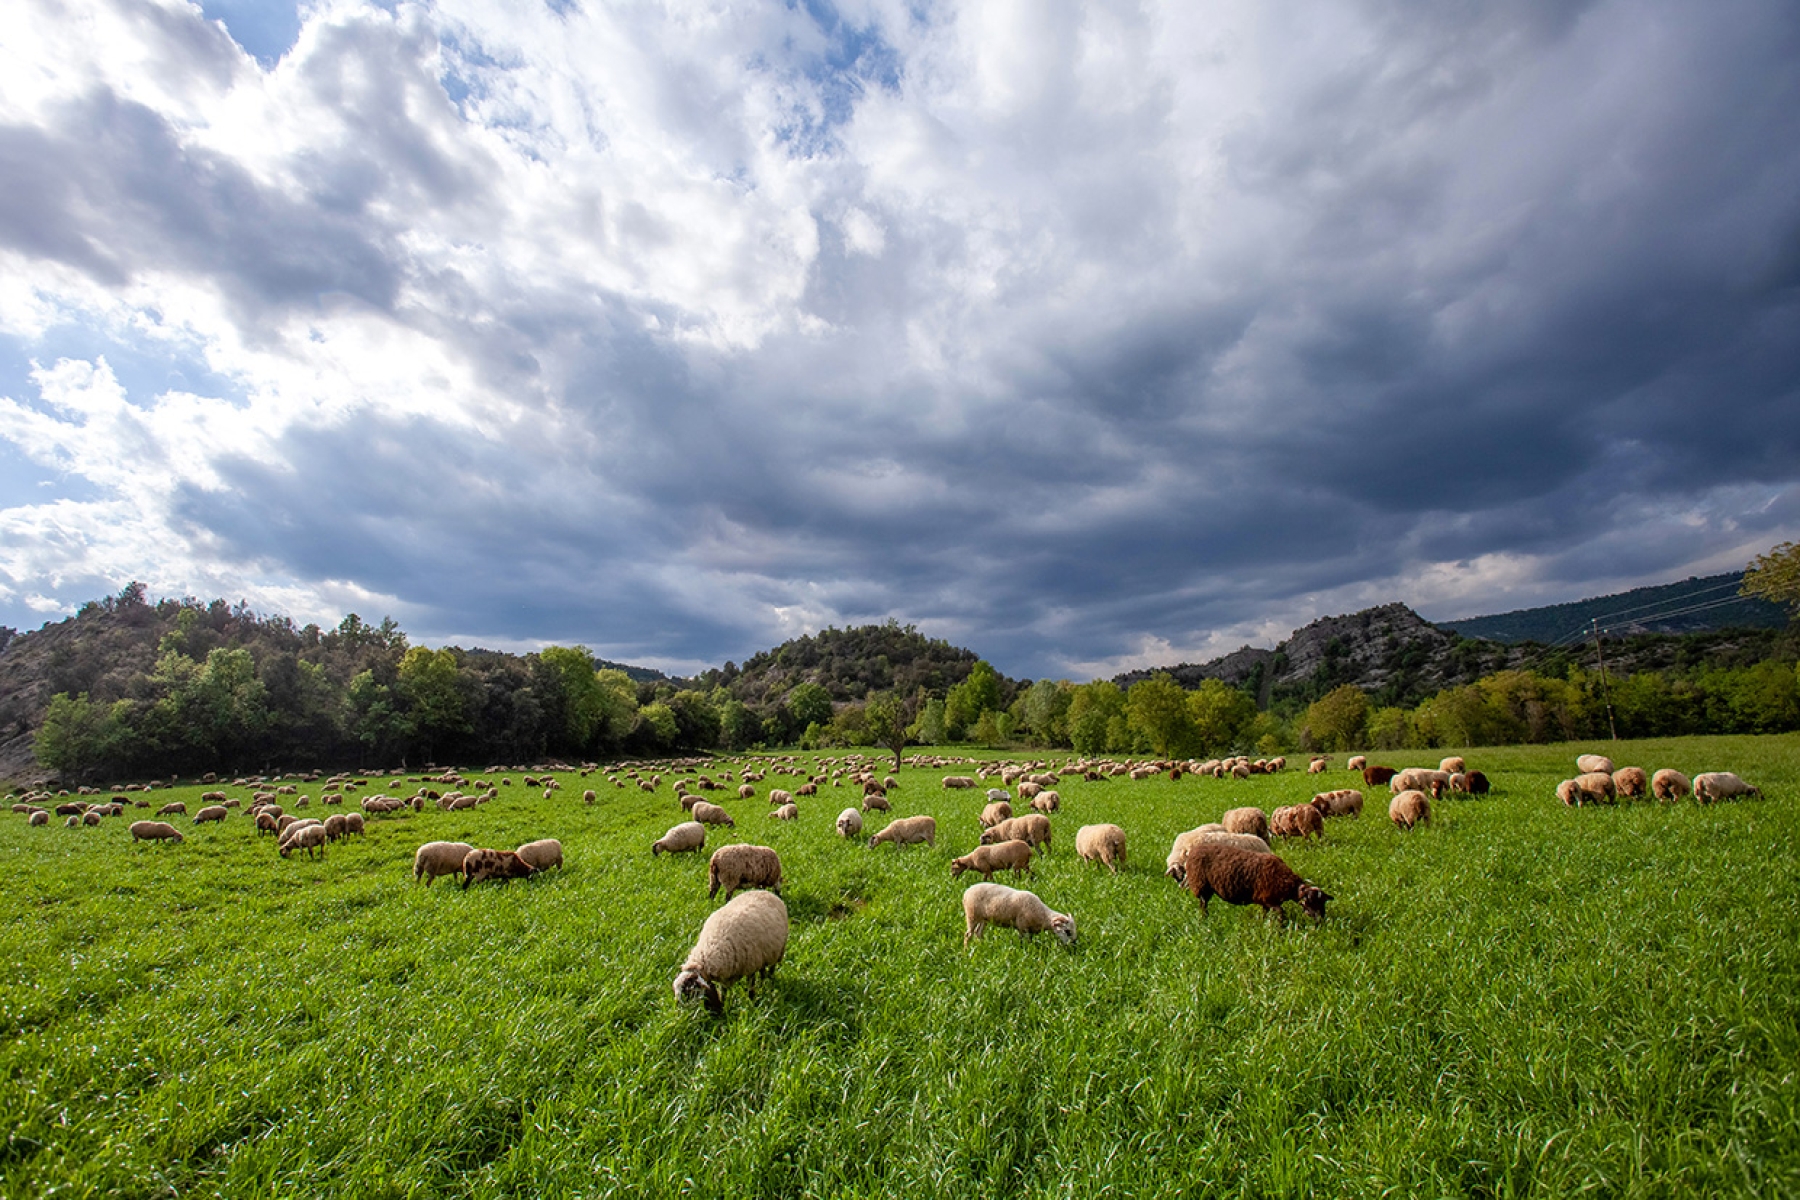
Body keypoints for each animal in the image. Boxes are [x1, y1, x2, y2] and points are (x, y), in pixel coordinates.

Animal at [676, 888, 788, 1021]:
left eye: (691, 992)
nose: (686, 1017)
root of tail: (763, 891)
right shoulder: (725, 975)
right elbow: (723, 992)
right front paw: (724, 1006)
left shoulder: (750, 966)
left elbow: (751, 990)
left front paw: (752, 1006)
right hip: (764, 955)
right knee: (762, 971)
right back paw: (762, 985)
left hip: (777, 951)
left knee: (771, 970)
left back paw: (770, 984)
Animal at [1173, 841, 1332, 928]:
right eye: (1312, 901)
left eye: (1323, 902)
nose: (1321, 921)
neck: (1287, 883)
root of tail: (1192, 851)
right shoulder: (1270, 899)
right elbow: (1281, 913)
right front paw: (1281, 928)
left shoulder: (1264, 900)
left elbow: (1264, 913)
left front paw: (1262, 924)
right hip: (1202, 885)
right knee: (1203, 904)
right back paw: (1204, 919)